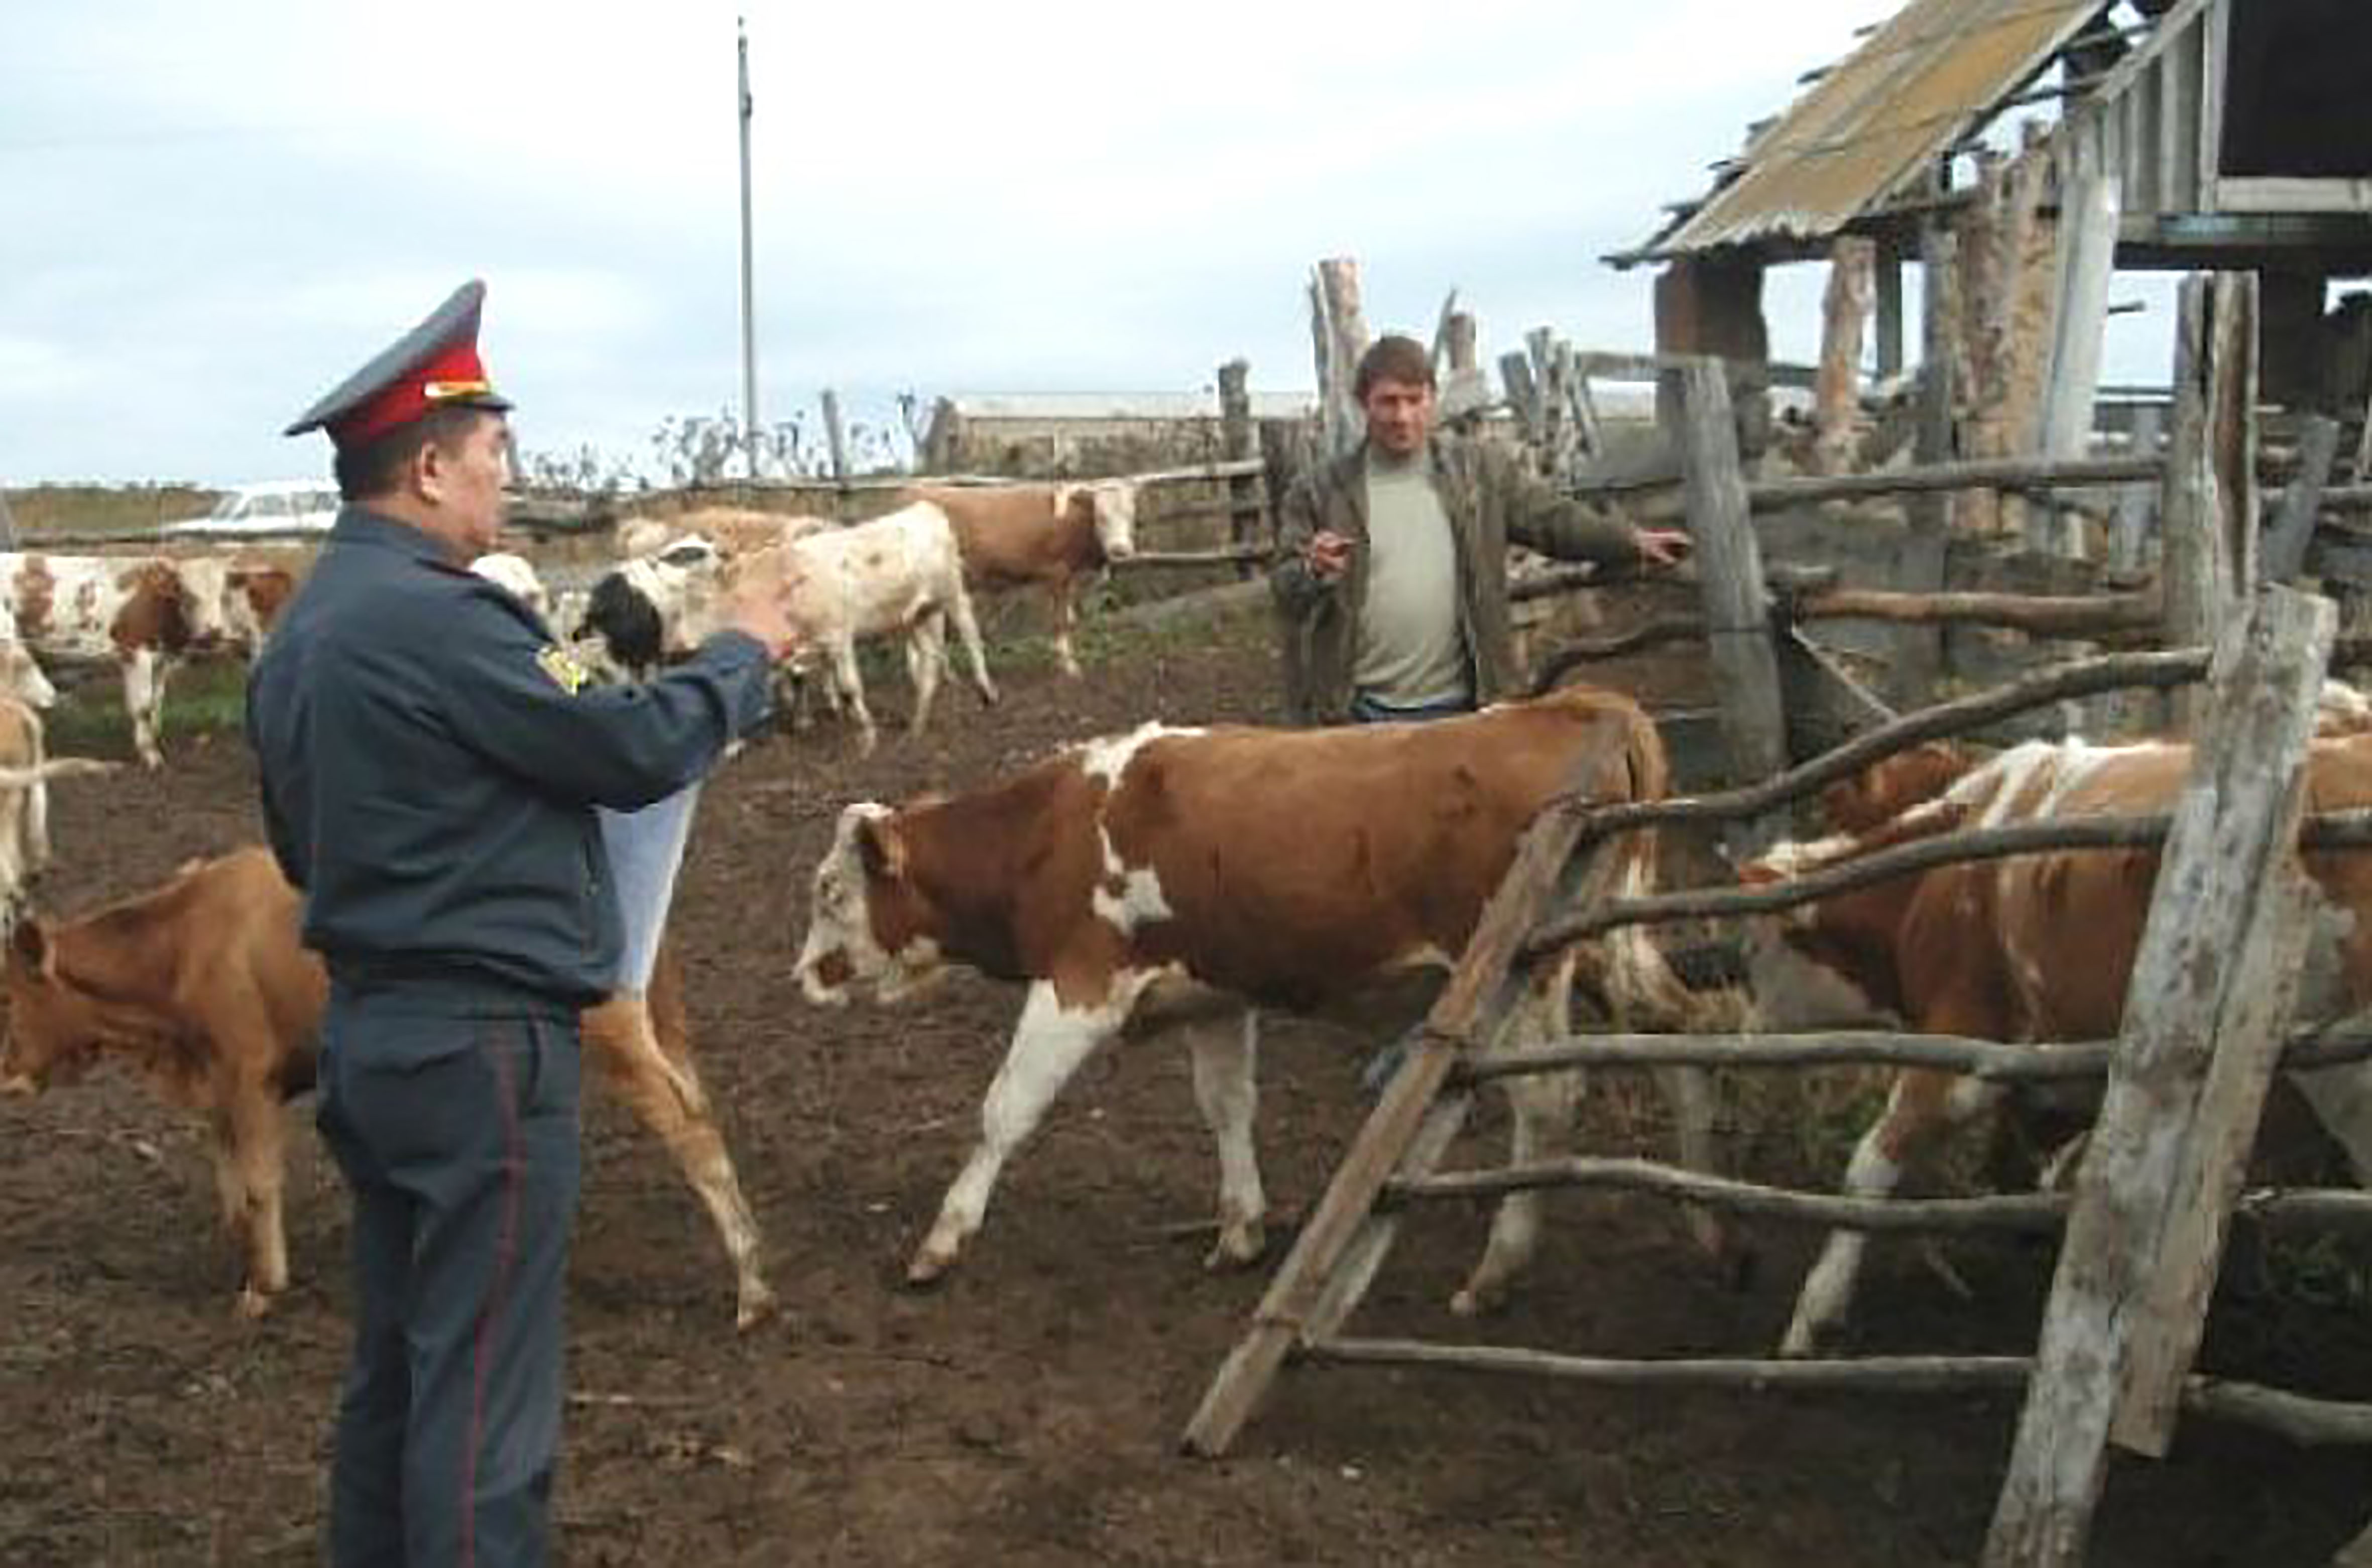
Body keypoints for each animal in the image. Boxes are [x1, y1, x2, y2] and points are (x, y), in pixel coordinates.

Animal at [0, 849, 778, 1328]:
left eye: (8, 997)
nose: (8, 1080)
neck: (183, 940)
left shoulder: (249, 1075)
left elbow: (258, 1183)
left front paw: (263, 1290)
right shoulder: (217, 1087)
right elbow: (230, 1185)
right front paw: (236, 1262)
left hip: (617, 1039)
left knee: (692, 1133)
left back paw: (751, 1289)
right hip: (660, 1028)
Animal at [792, 688, 1708, 1309]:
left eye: (832, 891)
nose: (802, 976)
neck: (1046, 833)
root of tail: (1576, 706)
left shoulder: (1078, 986)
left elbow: (1004, 1110)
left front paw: (942, 1240)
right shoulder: (1213, 997)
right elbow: (1226, 1106)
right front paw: (1240, 1227)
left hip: (1524, 973)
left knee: (1547, 1097)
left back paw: (1496, 1270)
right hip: (1615, 946)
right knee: (1681, 1030)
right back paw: (1706, 1228)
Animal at [896, 476, 1138, 673]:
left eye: (1131, 515)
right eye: (1101, 517)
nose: (1120, 550)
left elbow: (1068, 619)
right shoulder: (1058, 574)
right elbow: (1061, 622)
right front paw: (1069, 666)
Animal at [1745, 726, 2372, 1347]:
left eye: (1753, 951)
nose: (1747, 1029)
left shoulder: (1967, 1034)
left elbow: (1872, 1162)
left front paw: (1813, 1317)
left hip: (2345, 1080)